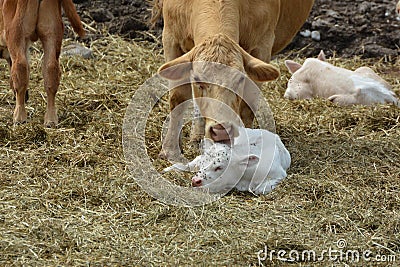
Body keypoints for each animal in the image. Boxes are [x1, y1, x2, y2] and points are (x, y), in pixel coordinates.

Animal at [155, 0, 314, 159]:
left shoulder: (263, 45)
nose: (221, 131)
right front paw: (170, 150)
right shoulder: (171, 38)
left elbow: (248, 105)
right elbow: (177, 98)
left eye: (240, 79)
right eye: (197, 79)